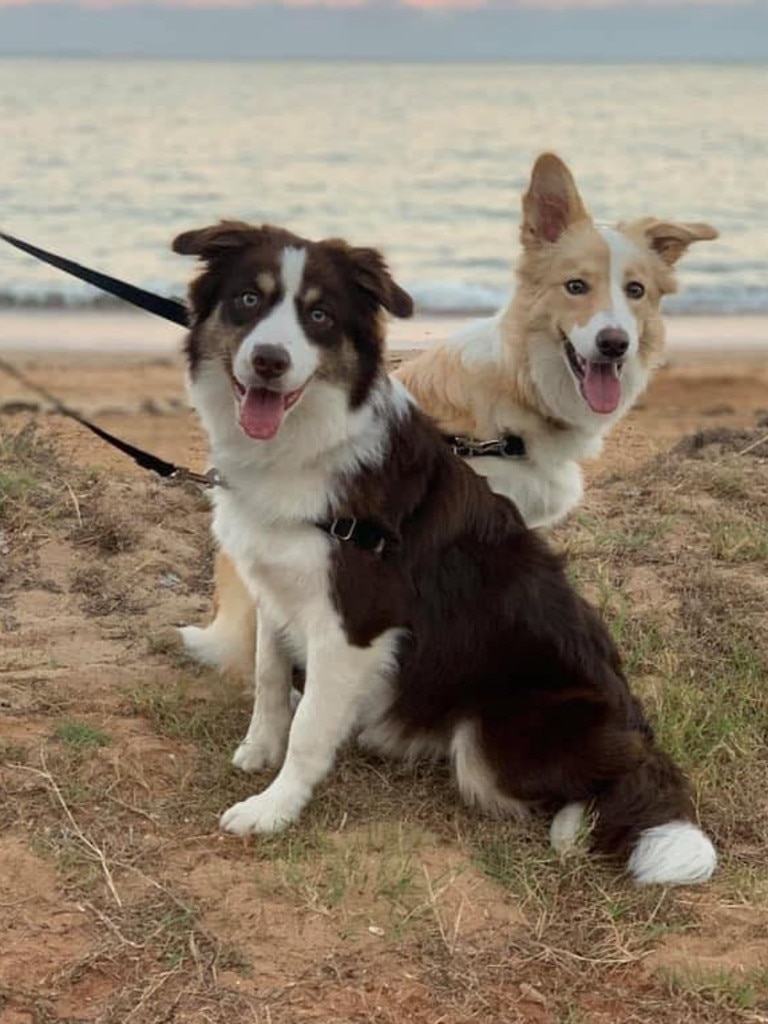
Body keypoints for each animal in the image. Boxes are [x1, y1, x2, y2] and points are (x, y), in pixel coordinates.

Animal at [177, 220, 720, 884]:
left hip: (495, 736)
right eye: (248, 301)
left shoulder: (355, 620)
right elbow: (270, 678)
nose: (269, 362)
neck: (308, 443)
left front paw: (273, 808)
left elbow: (307, 732)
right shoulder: (276, 586)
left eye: (320, 316)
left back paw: (575, 826)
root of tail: (633, 718)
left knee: (605, 777)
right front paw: (259, 749)